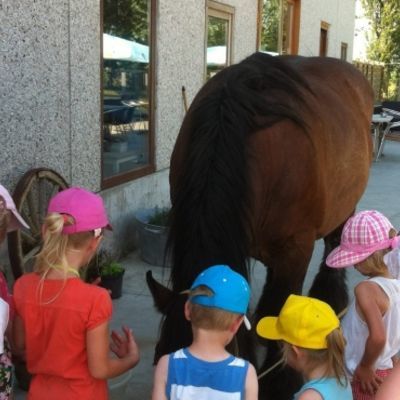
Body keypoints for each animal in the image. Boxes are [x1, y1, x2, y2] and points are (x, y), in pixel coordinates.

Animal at [148, 53, 376, 400]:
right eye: (158, 360)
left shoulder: (297, 248)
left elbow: (281, 311)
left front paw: (279, 382)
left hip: (342, 211)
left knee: (334, 248)